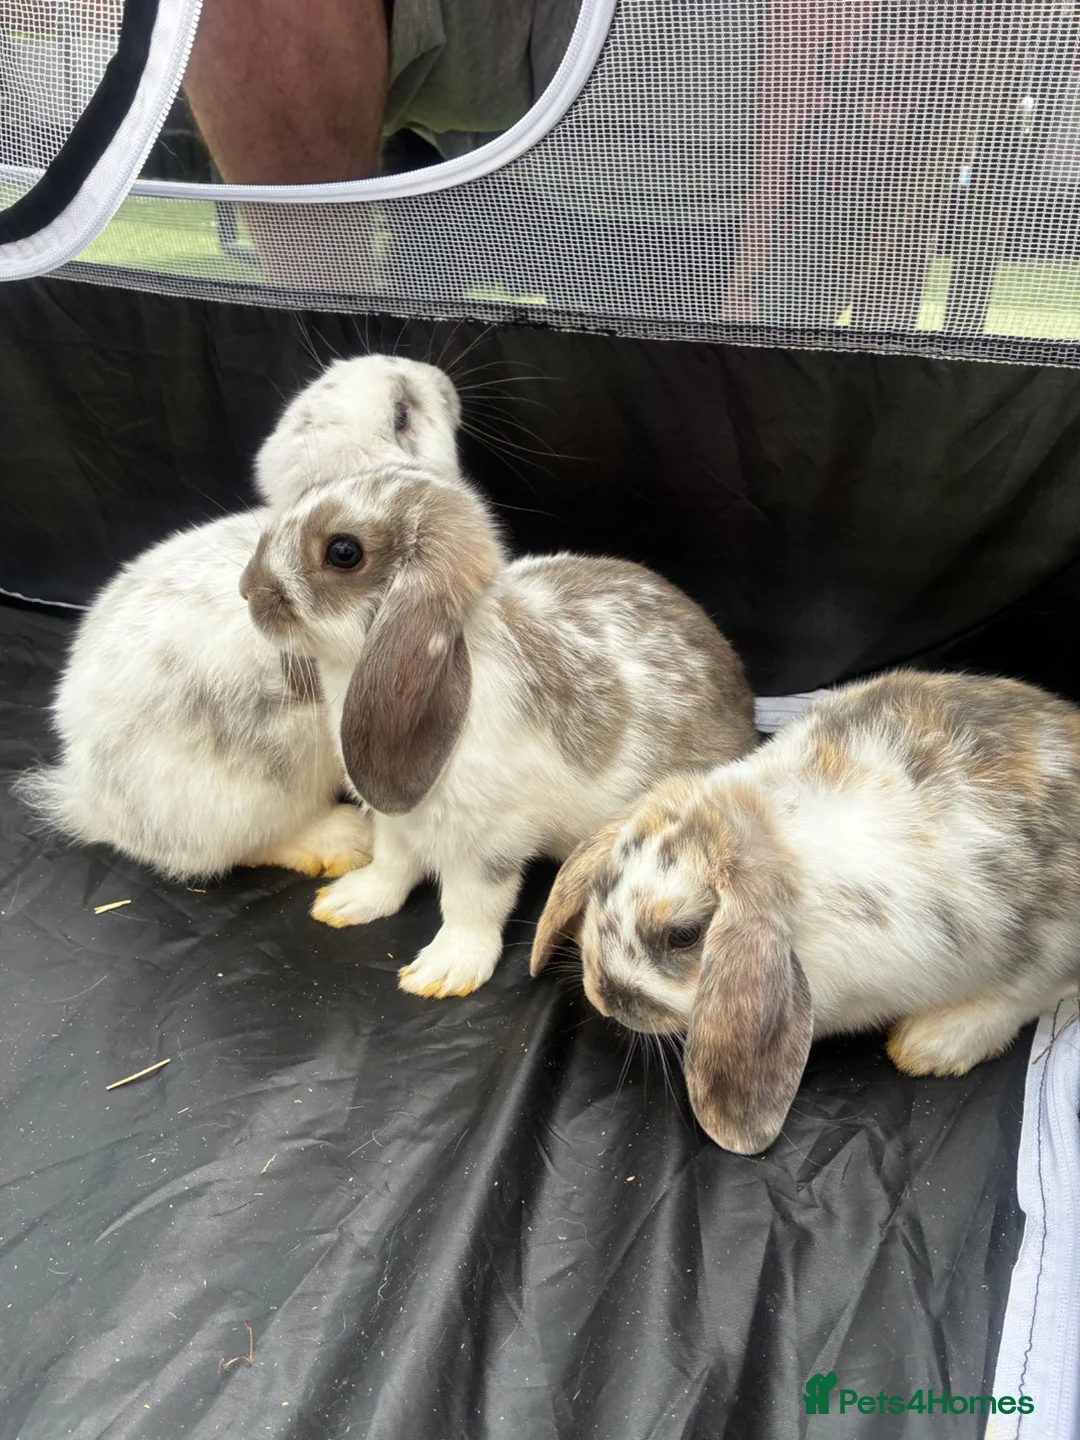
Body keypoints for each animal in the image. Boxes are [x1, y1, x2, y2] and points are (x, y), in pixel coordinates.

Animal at [16, 355, 462, 881]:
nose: (440, 379)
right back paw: (342, 840)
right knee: (243, 849)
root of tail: (93, 805)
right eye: (400, 416)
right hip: (252, 797)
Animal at [238, 458, 757, 1000]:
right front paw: (348, 902)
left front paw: (444, 971)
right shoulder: (396, 820)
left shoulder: (488, 842)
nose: (248, 588)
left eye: (344, 551)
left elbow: (471, 904)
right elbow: (391, 864)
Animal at [529, 668, 1080, 1155]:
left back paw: (929, 1045)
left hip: (1041, 949)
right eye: (601, 887)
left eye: (683, 936)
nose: (604, 1000)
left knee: (1030, 996)